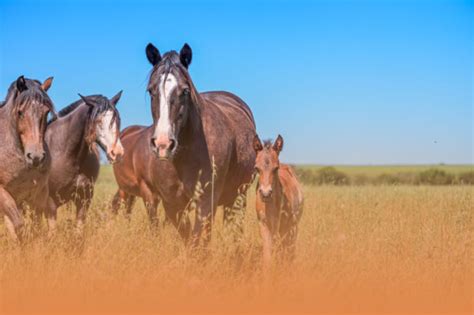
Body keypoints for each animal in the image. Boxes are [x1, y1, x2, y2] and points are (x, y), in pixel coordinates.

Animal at [0, 76, 56, 242]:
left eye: (46, 112)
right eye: (20, 112)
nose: (36, 157)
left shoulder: (38, 193)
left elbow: (37, 225)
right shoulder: (4, 193)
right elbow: (19, 225)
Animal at [112, 42, 256, 247]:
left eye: (185, 91)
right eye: (151, 91)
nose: (163, 144)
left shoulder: (206, 202)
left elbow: (198, 242)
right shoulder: (171, 203)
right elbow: (187, 238)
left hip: (238, 196)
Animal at [252, 136, 304, 272]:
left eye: (275, 168)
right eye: (256, 168)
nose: (265, 194)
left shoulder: (280, 224)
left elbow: (281, 249)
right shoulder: (264, 223)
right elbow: (267, 252)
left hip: (293, 225)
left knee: (290, 247)